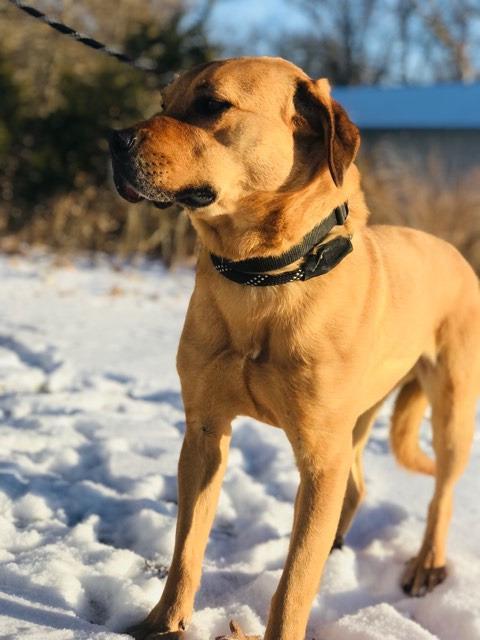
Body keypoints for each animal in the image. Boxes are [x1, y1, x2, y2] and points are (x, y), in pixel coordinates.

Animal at [109, 57, 480, 636]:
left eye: (212, 104)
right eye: (164, 101)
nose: (113, 140)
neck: (262, 277)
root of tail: (455, 252)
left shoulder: (319, 455)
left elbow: (293, 585)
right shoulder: (205, 432)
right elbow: (187, 547)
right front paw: (163, 622)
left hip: (451, 411)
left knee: (441, 493)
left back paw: (427, 563)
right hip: (358, 415)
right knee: (357, 484)